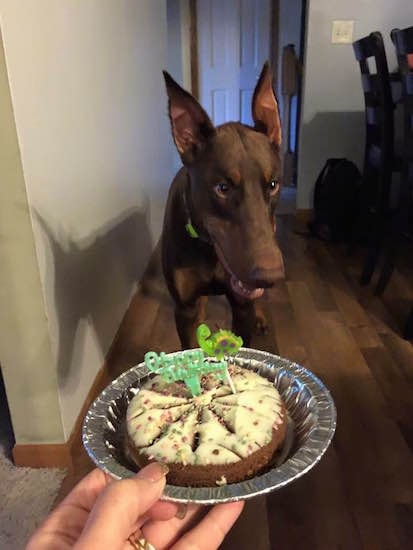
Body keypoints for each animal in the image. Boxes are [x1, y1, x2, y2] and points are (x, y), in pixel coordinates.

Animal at [160, 63, 284, 350]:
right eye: (223, 188)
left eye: (273, 184)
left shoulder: (242, 306)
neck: (210, 250)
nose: (271, 274)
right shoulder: (183, 308)